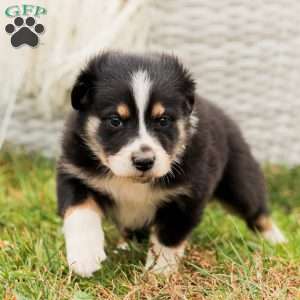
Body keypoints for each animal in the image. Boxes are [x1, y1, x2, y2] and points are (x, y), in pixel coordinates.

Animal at [56, 51, 286, 276]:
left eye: (163, 120)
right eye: (115, 121)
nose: (144, 161)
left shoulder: (187, 196)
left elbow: (168, 237)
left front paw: (158, 272)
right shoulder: (74, 172)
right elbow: (80, 212)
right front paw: (85, 258)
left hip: (240, 182)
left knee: (258, 211)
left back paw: (277, 241)